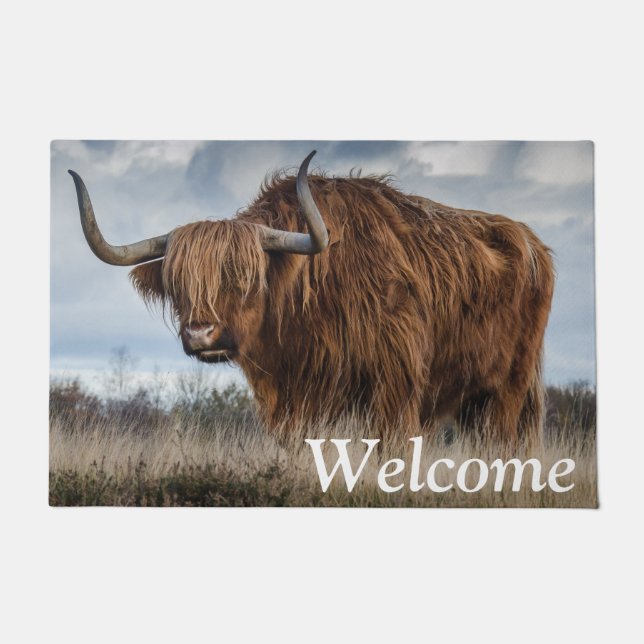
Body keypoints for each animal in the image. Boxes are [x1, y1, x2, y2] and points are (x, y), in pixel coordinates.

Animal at [69, 151, 554, 444]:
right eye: (178, 284)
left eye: (246, 277)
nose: (200, 334)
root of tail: (533, 242)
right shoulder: (291, 398)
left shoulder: (395, 385)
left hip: (508, 388)